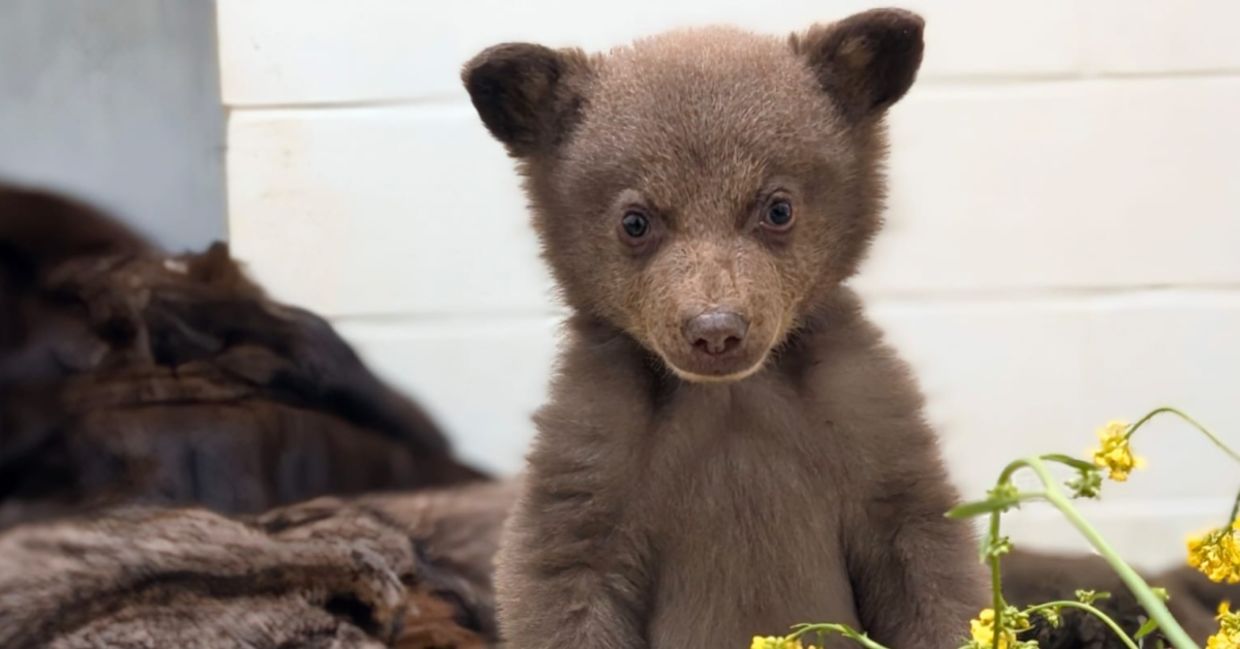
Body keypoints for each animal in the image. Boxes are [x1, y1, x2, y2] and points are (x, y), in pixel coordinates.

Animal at [462, 8, 986, 648]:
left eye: (778, 208)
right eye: (635, 221)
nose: (715, 329)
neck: (730, 395)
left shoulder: (870, 421)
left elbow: (927, 561)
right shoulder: (593, 453)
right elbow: (562, 579)